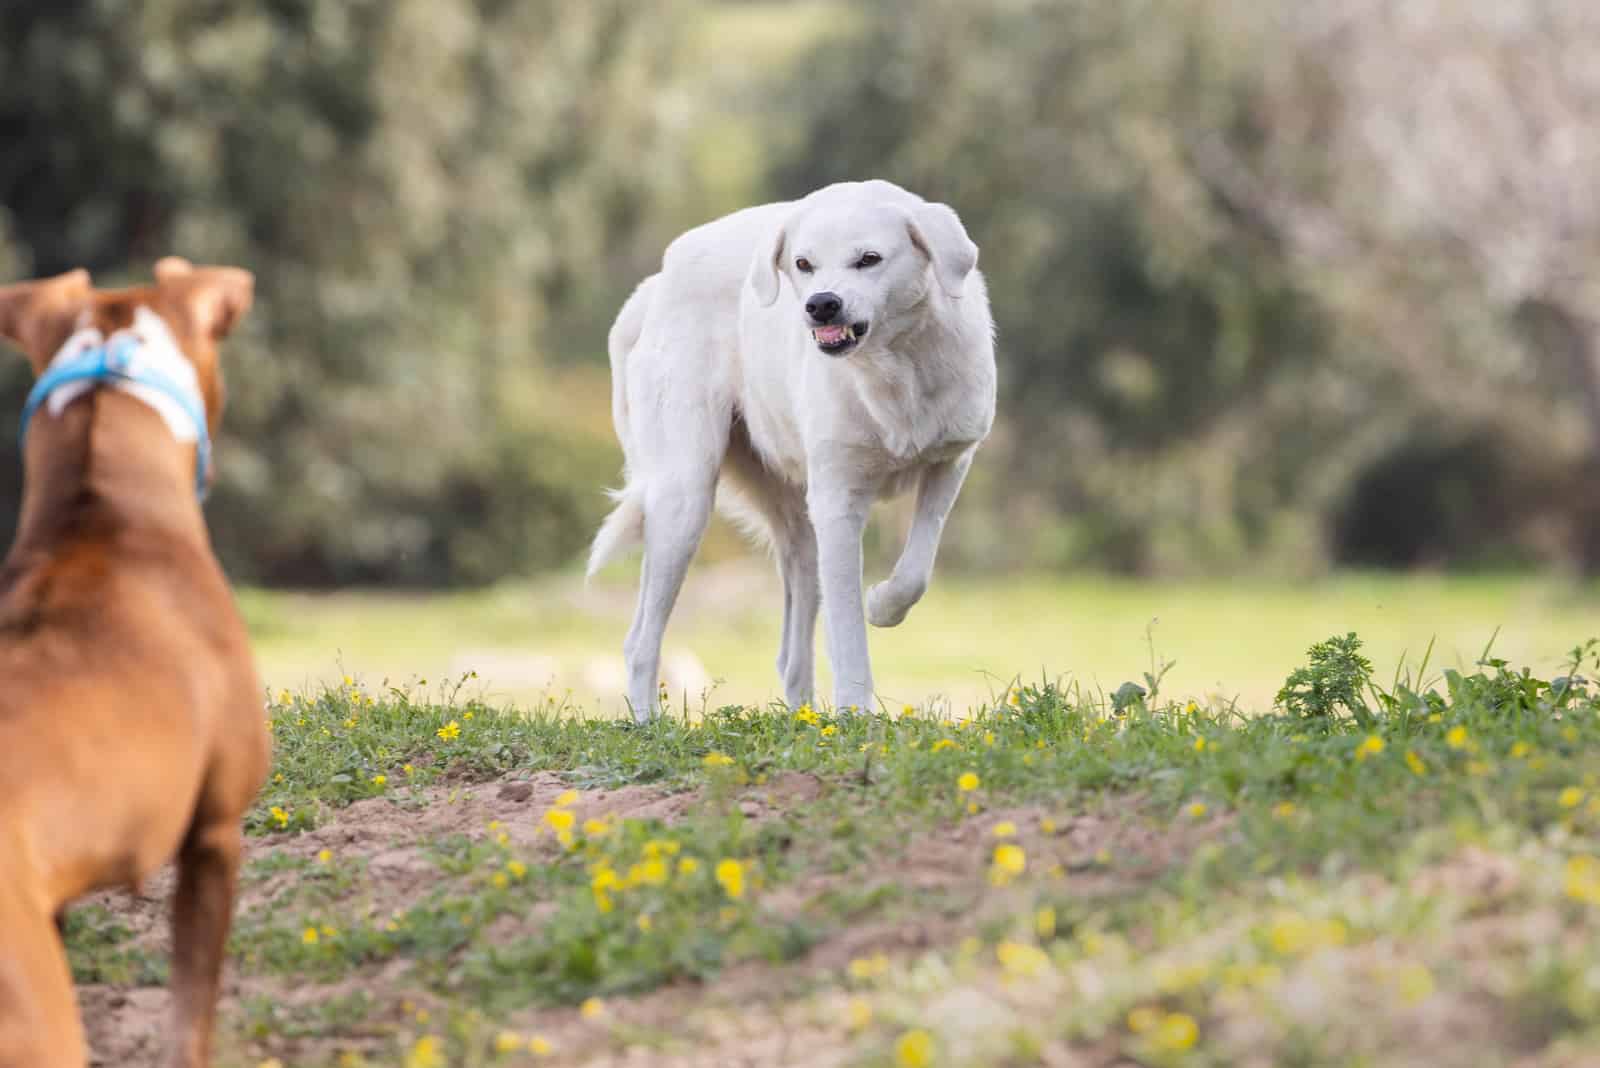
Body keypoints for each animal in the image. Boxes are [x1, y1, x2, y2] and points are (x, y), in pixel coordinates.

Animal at [582, 181, 992, 716]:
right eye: (803, 264)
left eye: (869, 259)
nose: (821, 304)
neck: (893, 366)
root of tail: (656, 283)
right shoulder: (839, 503)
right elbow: (847, 631)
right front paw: (857, 713)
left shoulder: (950, 461)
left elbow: (915, 570)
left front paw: (883, 606)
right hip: (684, 501)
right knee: (640, 641)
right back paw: (649, 722)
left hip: (799, 532)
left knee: (791, 658)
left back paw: (806, 718)